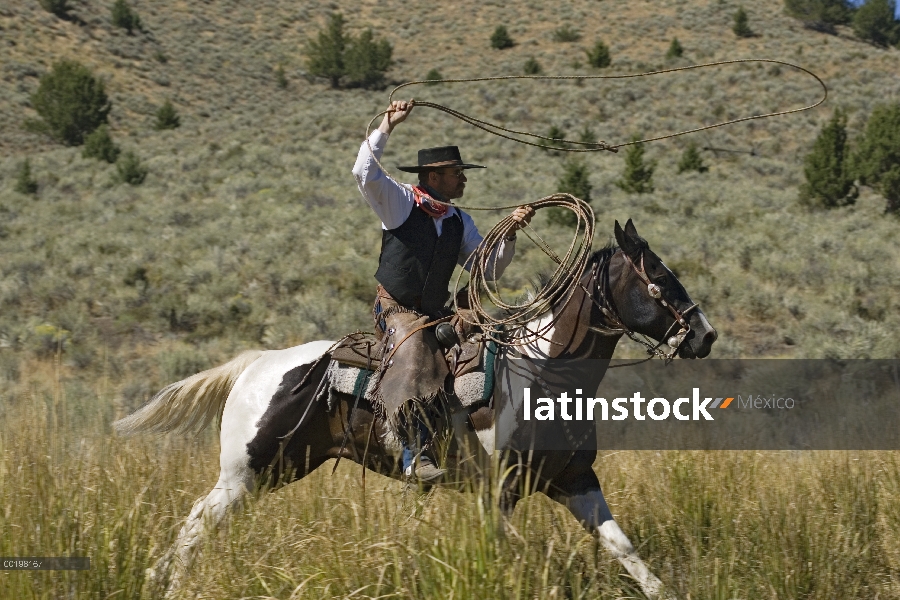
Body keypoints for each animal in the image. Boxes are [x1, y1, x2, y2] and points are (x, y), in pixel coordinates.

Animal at [114, 220, 716, 600]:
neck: (542, 372)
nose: (704, 335)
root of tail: (256, 363)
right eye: (659, 279)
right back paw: (166, 581)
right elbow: (509, 552)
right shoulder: (497, 491)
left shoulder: (573, 480)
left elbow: (625, 549)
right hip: (247, 471)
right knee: (196, 523)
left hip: (276, 470)